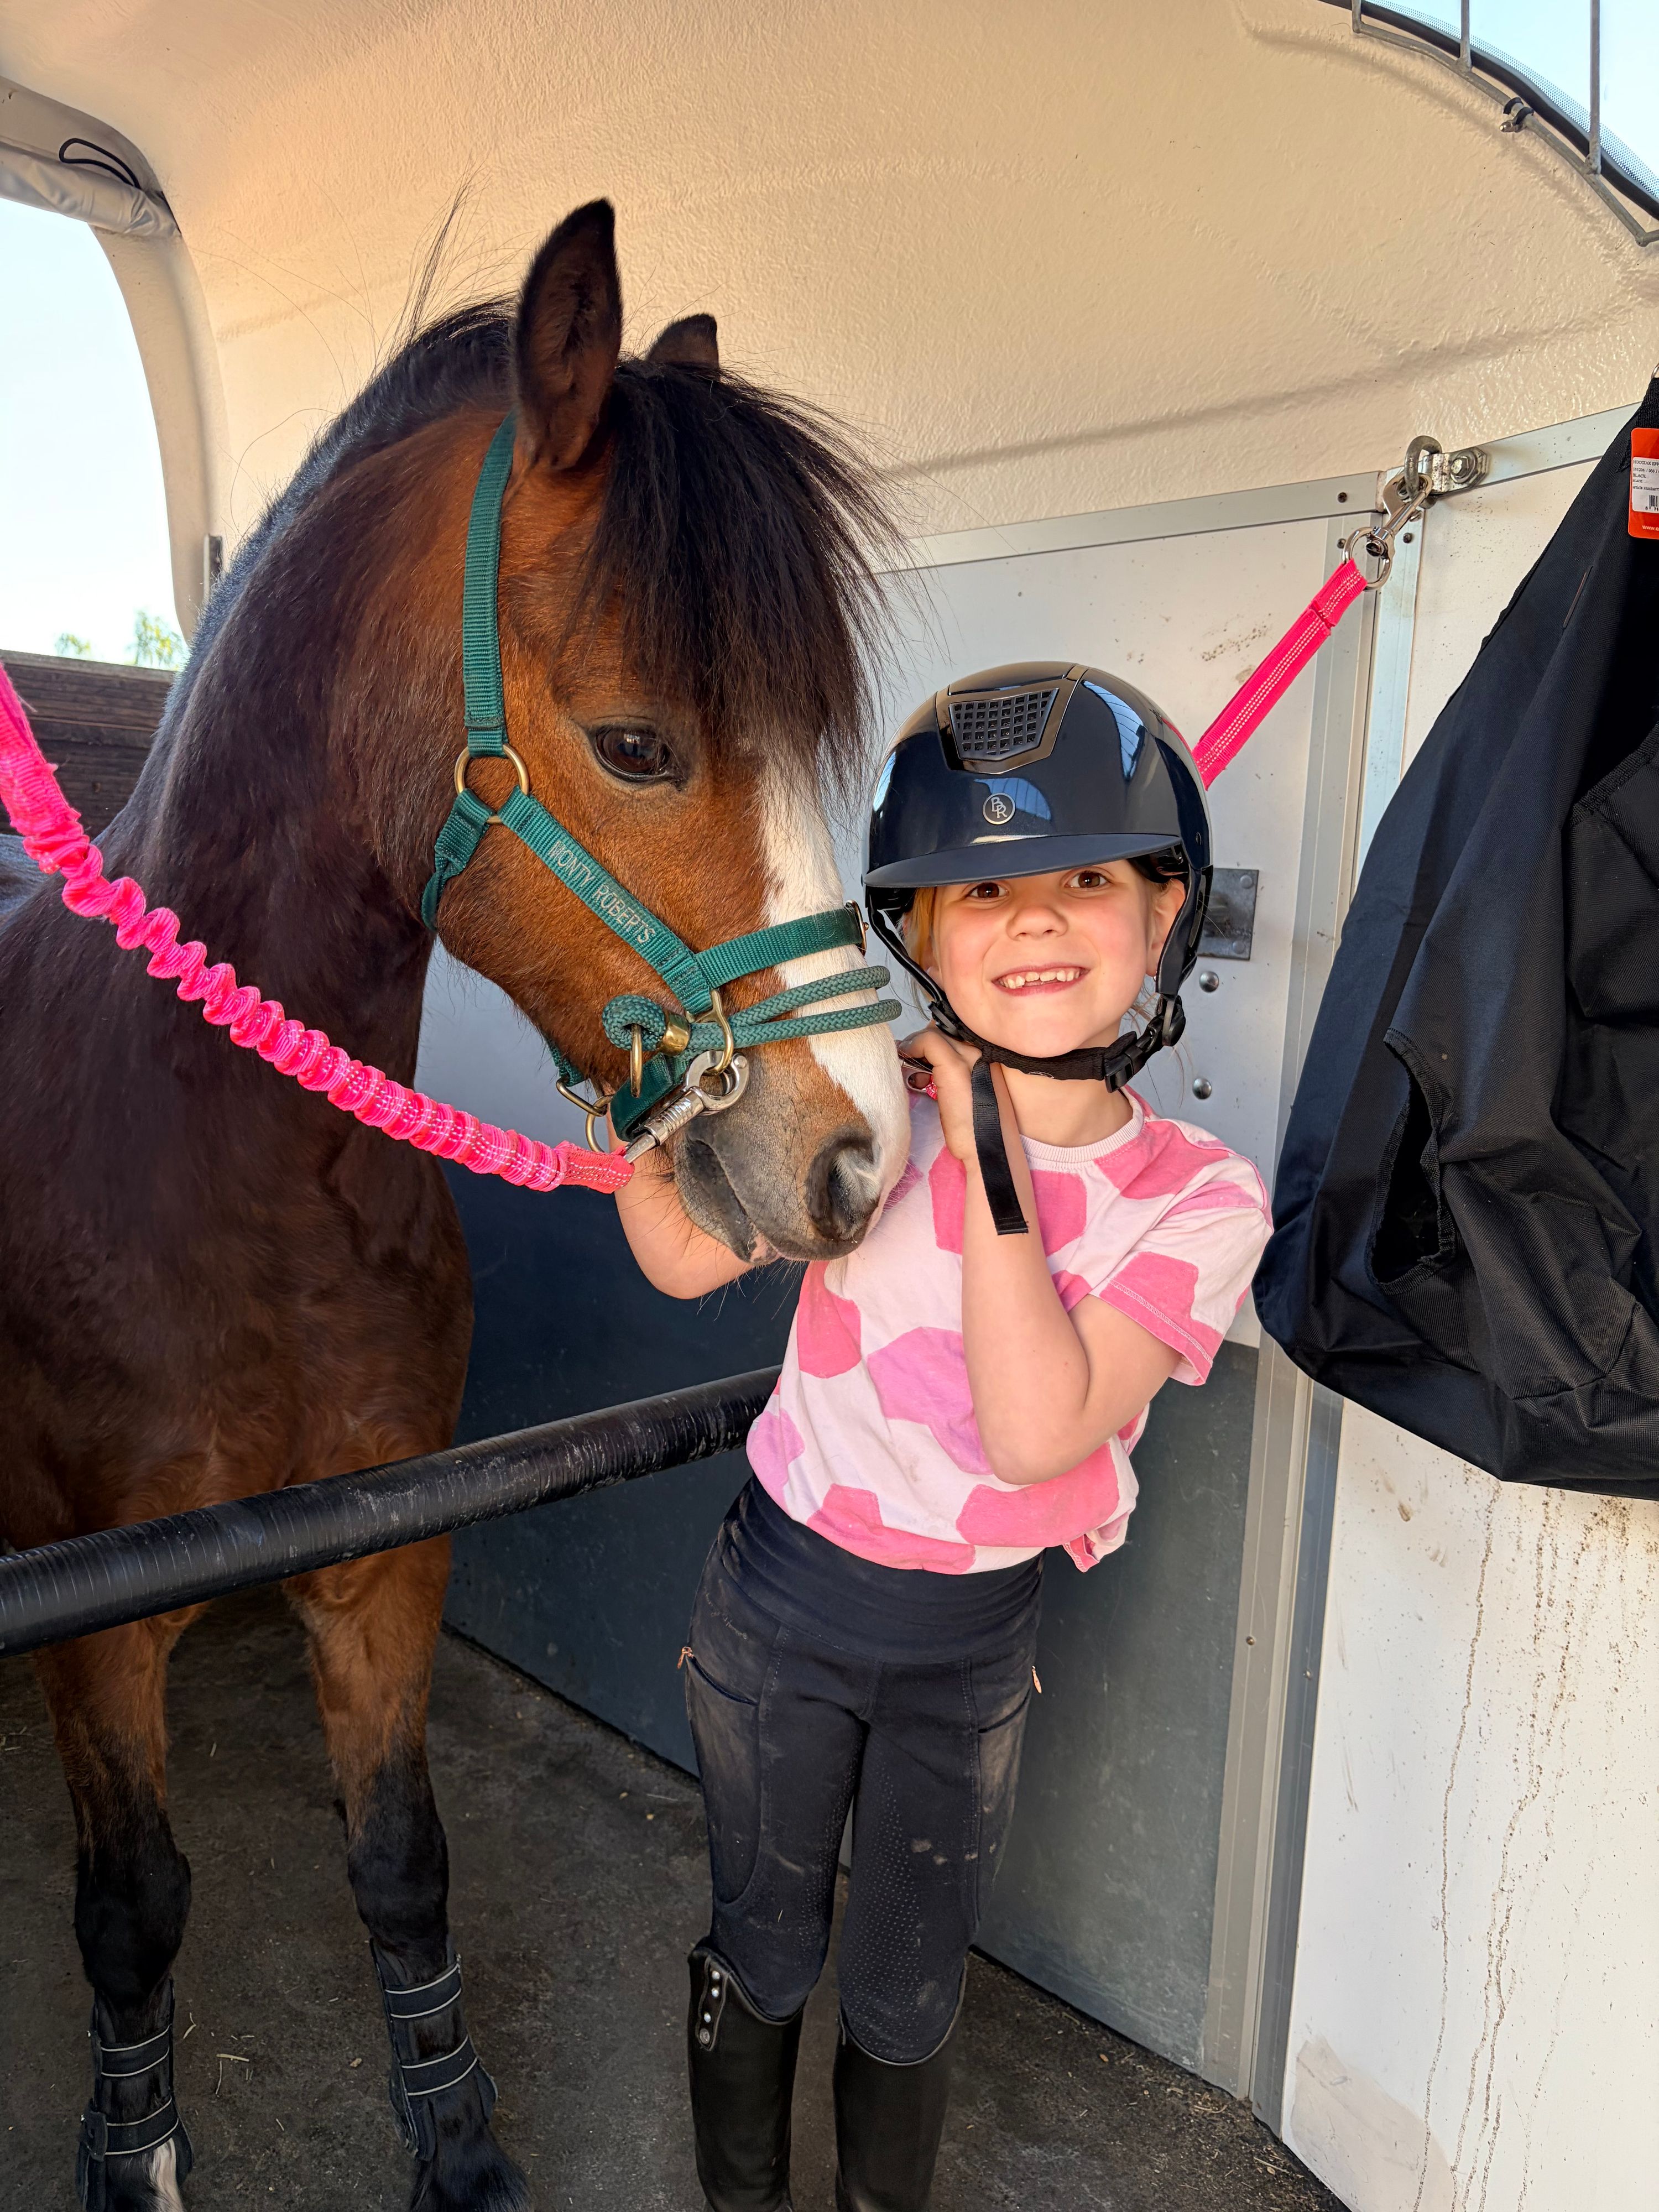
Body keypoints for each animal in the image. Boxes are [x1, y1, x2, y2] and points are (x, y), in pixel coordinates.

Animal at [0, 199, 909, 2212]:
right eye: (639, 742)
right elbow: (130, 1908)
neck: (230, 1187)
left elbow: (406, 1872)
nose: (859, 1161)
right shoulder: (100, 1625)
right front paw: (134, 2147)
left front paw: (461, 2148)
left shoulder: (383, 1562)